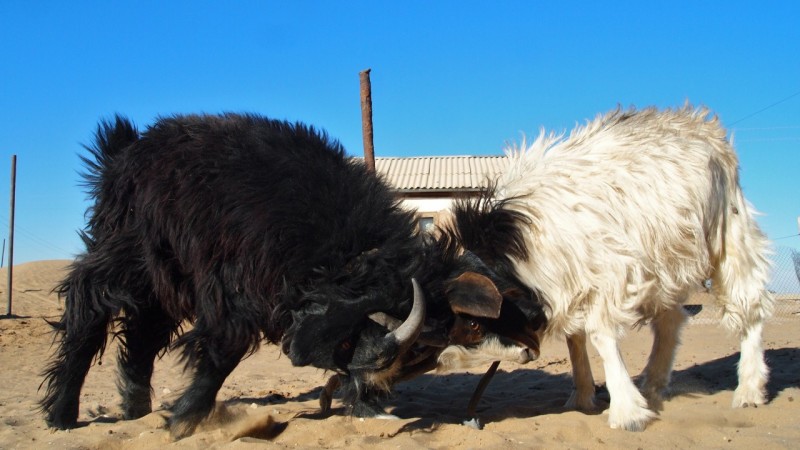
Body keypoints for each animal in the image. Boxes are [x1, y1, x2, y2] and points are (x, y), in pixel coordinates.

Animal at [462, 106, 776, 432]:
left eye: (471, 324)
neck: (515, 243)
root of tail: (703, 123)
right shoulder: (569, 282)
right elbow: (575, 338)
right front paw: (583, 396)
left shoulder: (609, 272)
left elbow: (600, 333)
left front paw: (626, 410)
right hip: (665, 260)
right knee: (670, 321)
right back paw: (653, 386)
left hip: (728, 233)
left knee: (750, 304)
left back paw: (749, 388)